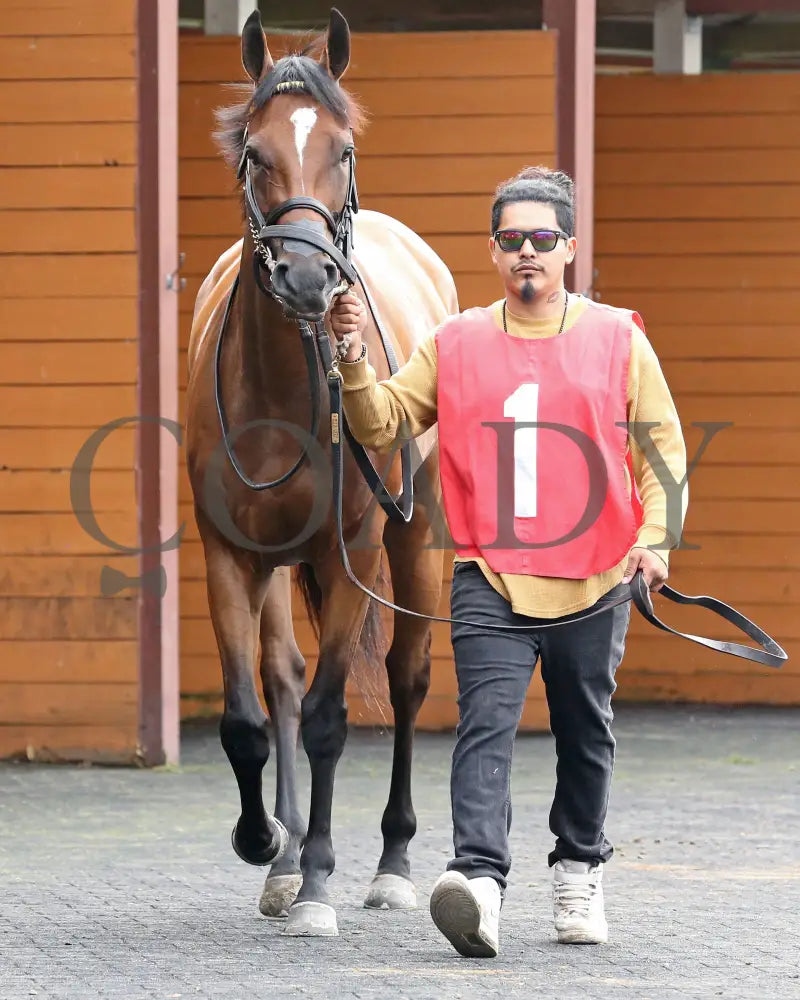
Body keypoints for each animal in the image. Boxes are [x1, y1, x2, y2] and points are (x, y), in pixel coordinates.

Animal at [183, 5, 456, 936]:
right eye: (253, 151)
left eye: (342, 149)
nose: (305, 276)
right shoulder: (229, 556)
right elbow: (248, 716)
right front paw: (267, 845)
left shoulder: (351, 555)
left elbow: (336, 718)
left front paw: (320, 884)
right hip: (278, 565)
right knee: (284, 682)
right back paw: (286, 854)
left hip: (415, 540)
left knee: (407, 680)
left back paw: (392, 864)